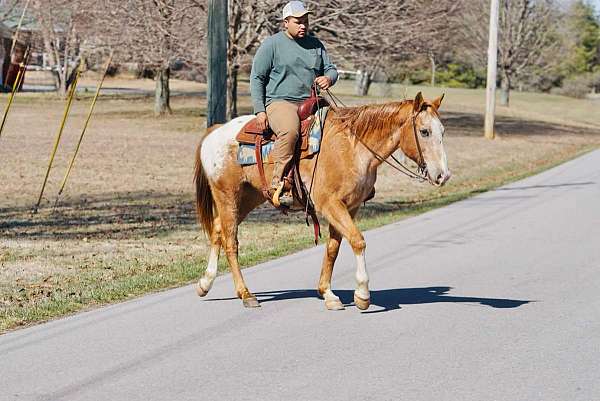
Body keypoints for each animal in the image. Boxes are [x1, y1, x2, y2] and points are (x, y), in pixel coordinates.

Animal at [193, 93, 450, 310]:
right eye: (424, 131)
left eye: (442, 131)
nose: (443, 175)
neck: (352, 147)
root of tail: (215, 131)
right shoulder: (331, 205)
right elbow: (357, 241)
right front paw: (362, 295)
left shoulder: (350, 207)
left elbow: (333, 248)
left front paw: (328, 293)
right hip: (227, 196)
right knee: (231, 242)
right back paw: (246, 294)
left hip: (248, 198)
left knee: (218, 229)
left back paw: (205, 283)